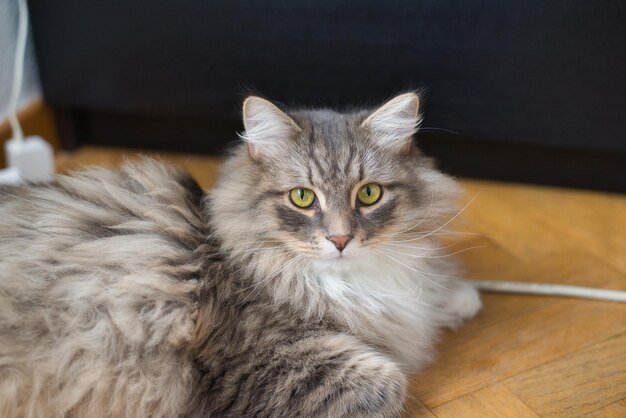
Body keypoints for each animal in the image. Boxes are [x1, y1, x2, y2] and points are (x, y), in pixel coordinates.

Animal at [0, 93, 478, 416]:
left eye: (369, 194)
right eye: (303, 197)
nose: (341, 240)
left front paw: (460, 299)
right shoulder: (261, 364)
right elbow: (391, 383)